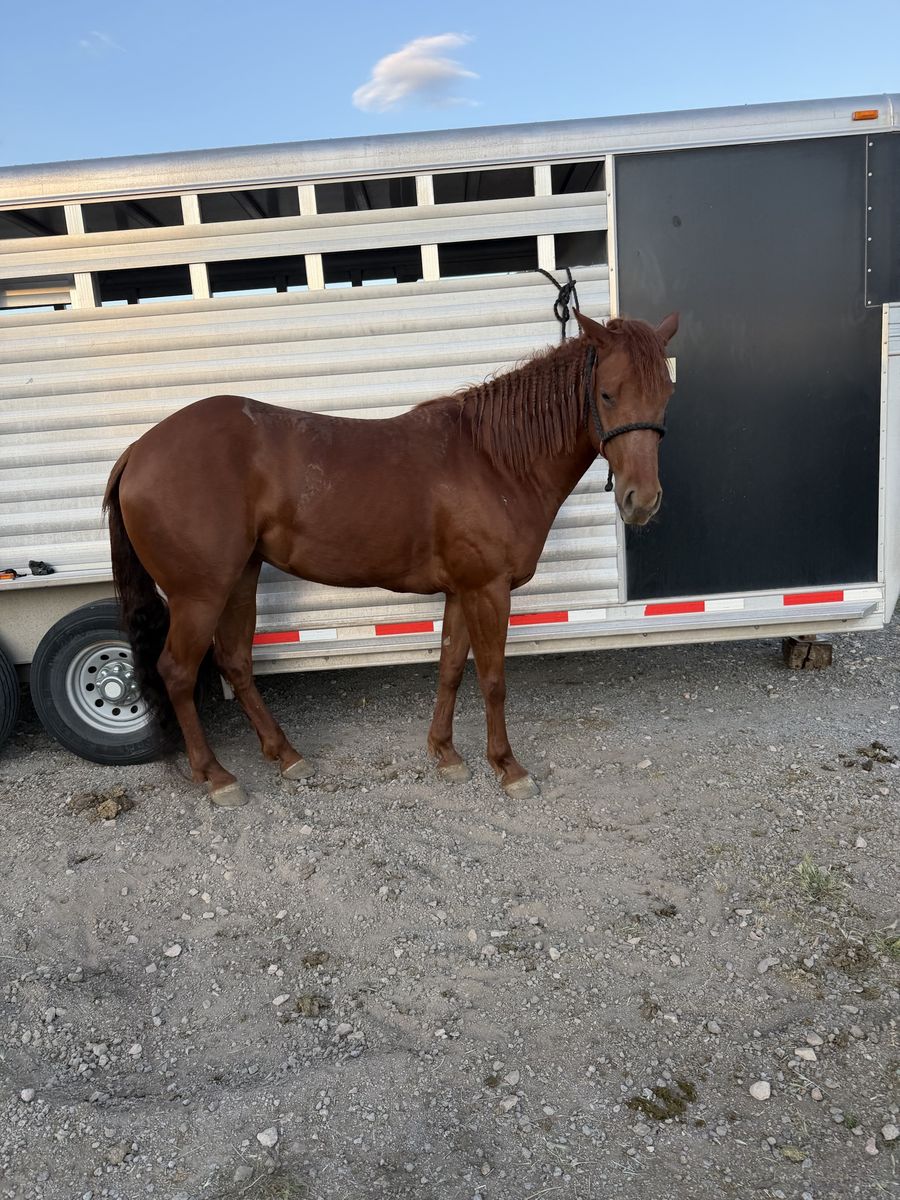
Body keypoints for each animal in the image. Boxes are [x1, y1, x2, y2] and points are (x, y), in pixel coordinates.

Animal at [103, 308, 678, 807]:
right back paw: (217, 776)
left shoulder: (462, 590)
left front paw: (445, 754)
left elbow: (451, 667)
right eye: (606, 394)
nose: (643, 501)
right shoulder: (488, 590)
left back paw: (285, 755)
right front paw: (508, 767)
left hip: (241, 578)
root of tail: (138, 450)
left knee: (236, 662)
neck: (493, 460)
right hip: (199, 594)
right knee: (178, 672)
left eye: (665, 394)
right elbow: (493, 680)